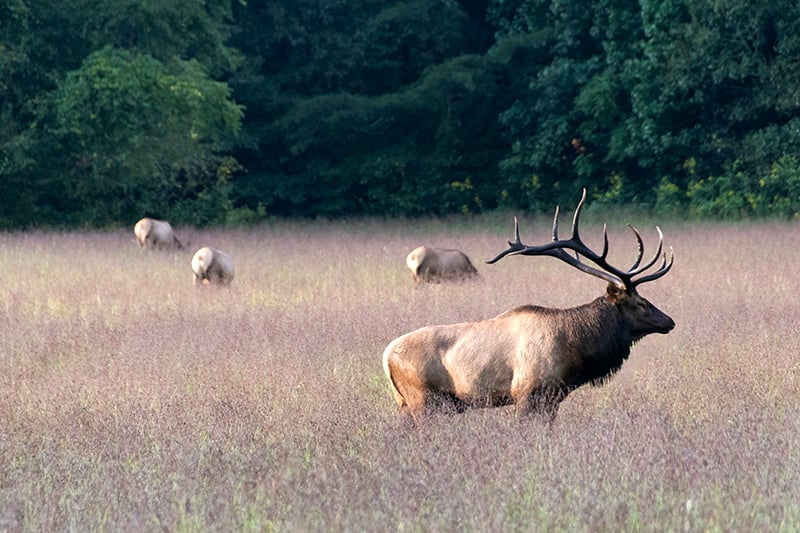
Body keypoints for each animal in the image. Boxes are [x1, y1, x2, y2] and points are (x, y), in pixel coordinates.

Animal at [382, 189, 675, 423]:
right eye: (641, 303)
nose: (670, 321)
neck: (576, 347)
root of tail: (385, 357)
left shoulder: (552, 398)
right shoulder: (526, 393)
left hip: (405, 404)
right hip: (423, 401)